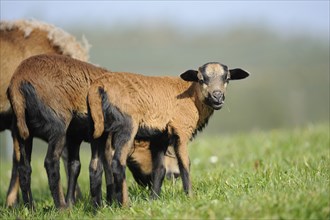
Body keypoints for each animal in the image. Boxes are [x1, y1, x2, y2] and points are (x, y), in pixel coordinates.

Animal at [86, 61, 249, 205]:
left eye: (227, 78)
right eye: (201, 79)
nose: (217, 96)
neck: (193, 97)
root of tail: (98, 87)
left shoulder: (159, 138)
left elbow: (159, 169)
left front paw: (154, 200)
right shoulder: (181, 130)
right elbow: (185, 164)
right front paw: (190, 197)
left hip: (98, 130)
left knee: (95, 167)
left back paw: (98, 209)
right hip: (126, 125)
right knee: (117, 163)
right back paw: (125, 205)